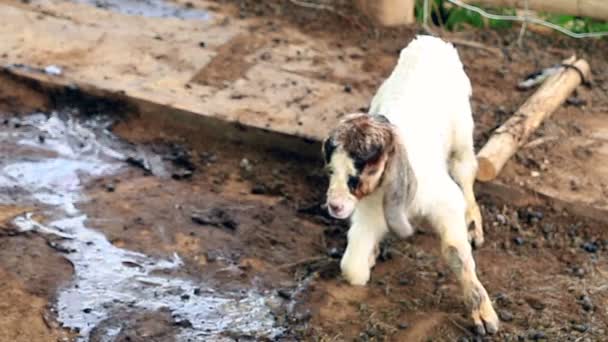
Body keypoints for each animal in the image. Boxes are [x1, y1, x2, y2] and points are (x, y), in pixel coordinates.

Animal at [324, 36, 498, 336]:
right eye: (331, 170)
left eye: (359, 173)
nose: (334, 207)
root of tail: (429, 41)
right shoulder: (368, 215)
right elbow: (352, 267)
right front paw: (369, 257)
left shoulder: (446, 202)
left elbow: (457, 253)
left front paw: (483, 315)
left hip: (463, 134)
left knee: (466, 172)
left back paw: (474, 224)